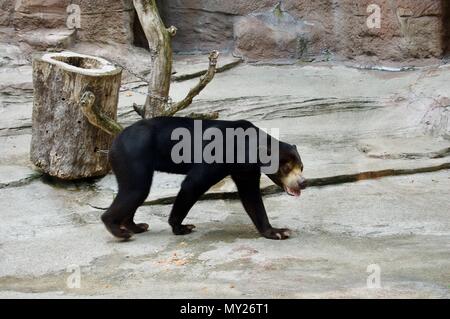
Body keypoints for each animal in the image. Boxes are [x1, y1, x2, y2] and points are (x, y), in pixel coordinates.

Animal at [101, 117, 306, 240]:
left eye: (301, 167)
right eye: (286, 167)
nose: (303, 182)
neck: (246, 148)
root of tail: (114, 141)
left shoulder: (246, 169)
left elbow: (251, 197)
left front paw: (278, 232)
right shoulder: (219, 152)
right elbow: (193, 183)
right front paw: (181, 227)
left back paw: (136, 226)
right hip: (132, 155)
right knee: (136, 189)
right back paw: (120, 231)